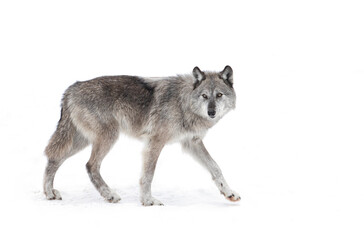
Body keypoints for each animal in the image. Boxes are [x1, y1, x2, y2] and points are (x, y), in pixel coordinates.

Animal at [44, 65, 240, 206]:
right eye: (204, 96)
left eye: (219, 95)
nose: (211, 112)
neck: (182, 102)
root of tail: (71, 88)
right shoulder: (155, 142)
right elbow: (148, 174)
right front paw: (148, 201)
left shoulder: (192, 142)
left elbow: (215, 167)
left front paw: (229, 193)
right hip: (107, 137)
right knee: (90, 165)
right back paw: (110, 195)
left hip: (80, 141)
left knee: (54, 159)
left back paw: (49, 193)